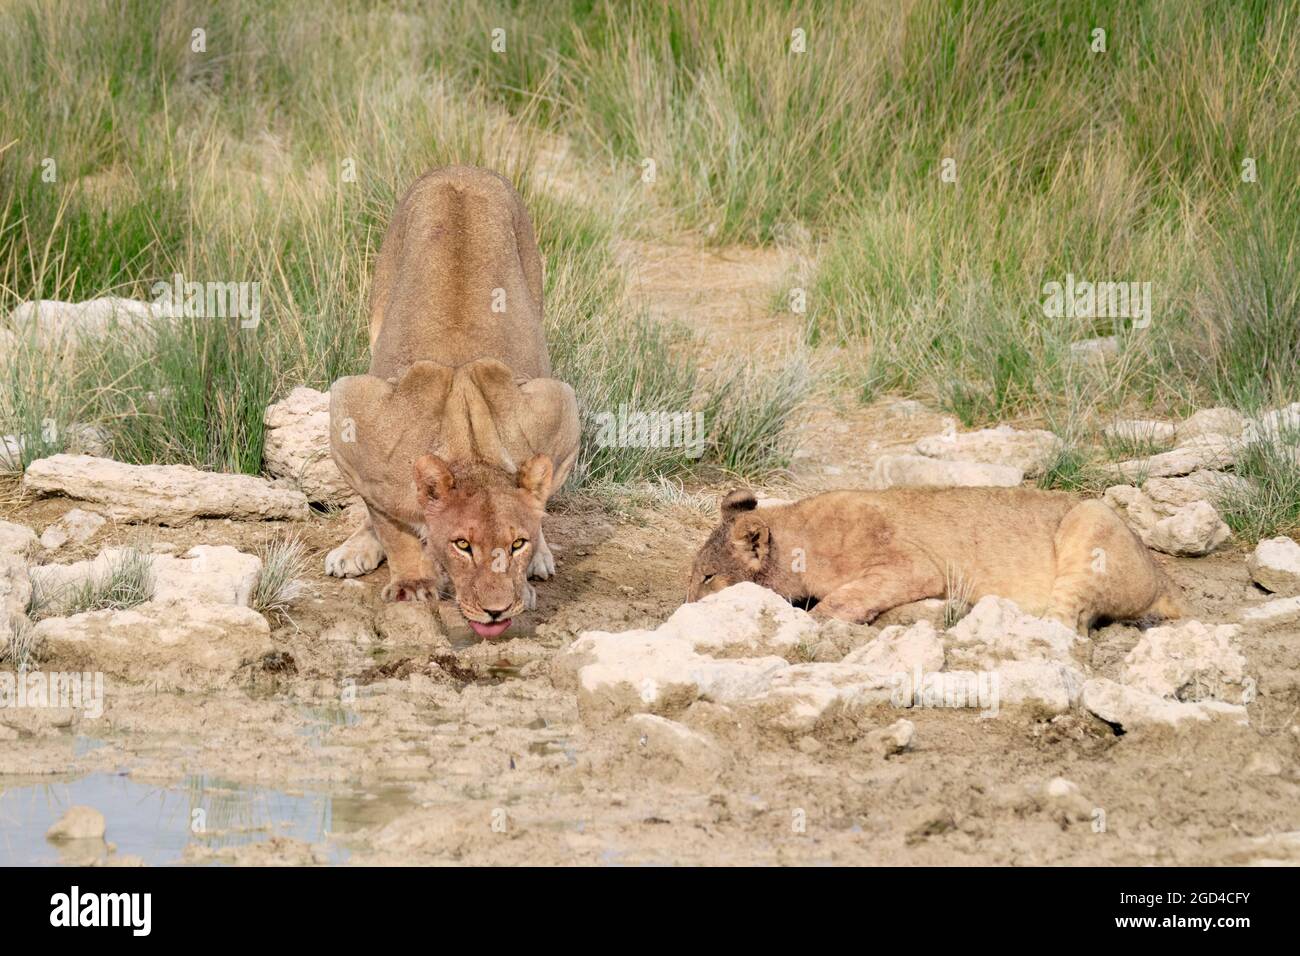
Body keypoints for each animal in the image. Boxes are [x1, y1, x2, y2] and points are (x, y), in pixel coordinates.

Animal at [325, 166, 579, 638]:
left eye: (515, 544)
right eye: (463, 545)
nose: (498, 611)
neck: (471, 448)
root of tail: (463, 167)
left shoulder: (558, 406)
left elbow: (538, 497)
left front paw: (531, 565)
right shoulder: (352, 409)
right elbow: (391, 525)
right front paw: (412, 583)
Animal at [687, 487, 1183, 633]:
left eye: (708, 577)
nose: (683, 611)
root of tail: (1164, 581)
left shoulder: (911, 565)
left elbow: (839, 602)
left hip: (1090, 519)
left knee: (1068, 627)